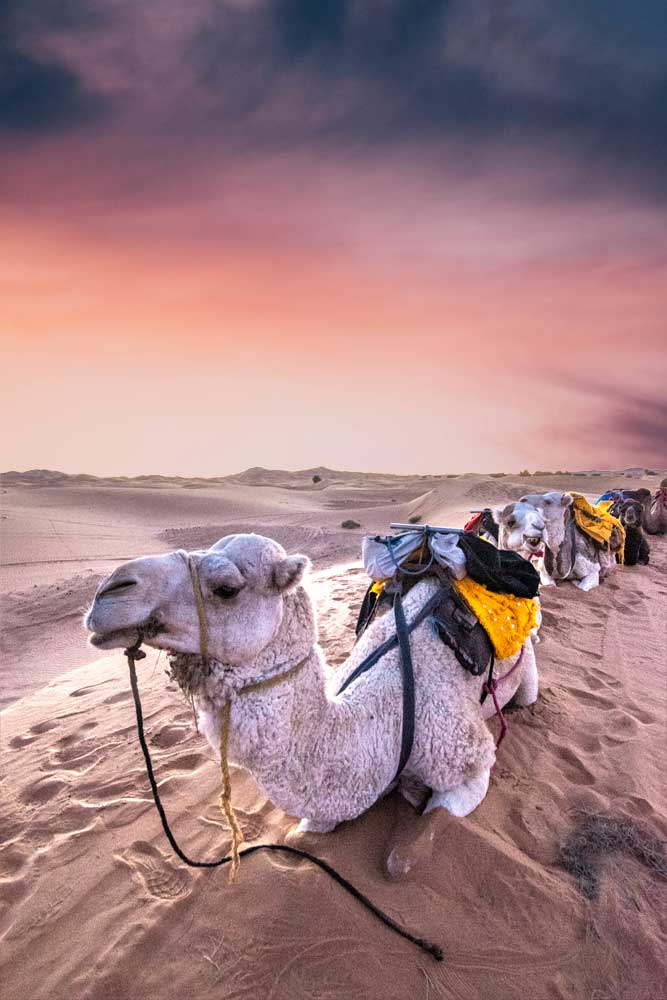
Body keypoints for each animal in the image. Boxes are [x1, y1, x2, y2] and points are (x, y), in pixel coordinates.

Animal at [85, 536, 544, 832]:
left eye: (226, 588)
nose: (109, 590)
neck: (388, 720)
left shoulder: (467, 761)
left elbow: (437, 814)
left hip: (528, 676)